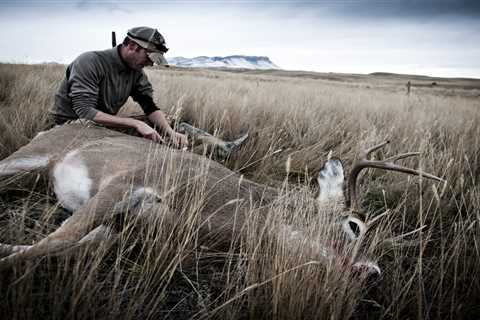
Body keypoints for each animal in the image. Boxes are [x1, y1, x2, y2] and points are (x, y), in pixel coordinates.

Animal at [0, 120, 446, 276]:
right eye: (354, 226)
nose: (372, 272)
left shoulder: (131, 225)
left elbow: (73, 243)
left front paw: (6, 249)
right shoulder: (127, 180)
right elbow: (57, 239)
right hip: (23, 159)